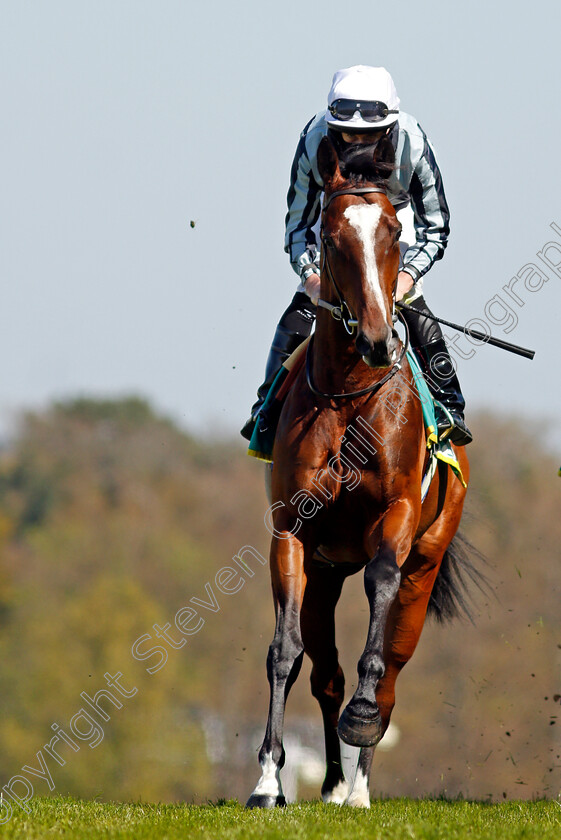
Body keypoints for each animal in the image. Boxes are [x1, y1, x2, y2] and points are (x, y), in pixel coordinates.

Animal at [247, 136, 470, 808]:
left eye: (395, 230)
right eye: (331, 233)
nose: (374, 338)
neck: (349, 395)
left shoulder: (393, 520)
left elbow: (378, 621)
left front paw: (362, 725)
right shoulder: (292, 532)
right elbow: (284, 653)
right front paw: (268, 780)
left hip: (426, 561)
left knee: (391, 667)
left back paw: (361, 785)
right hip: (325, 573)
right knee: (325, 673)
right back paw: (333, 784)